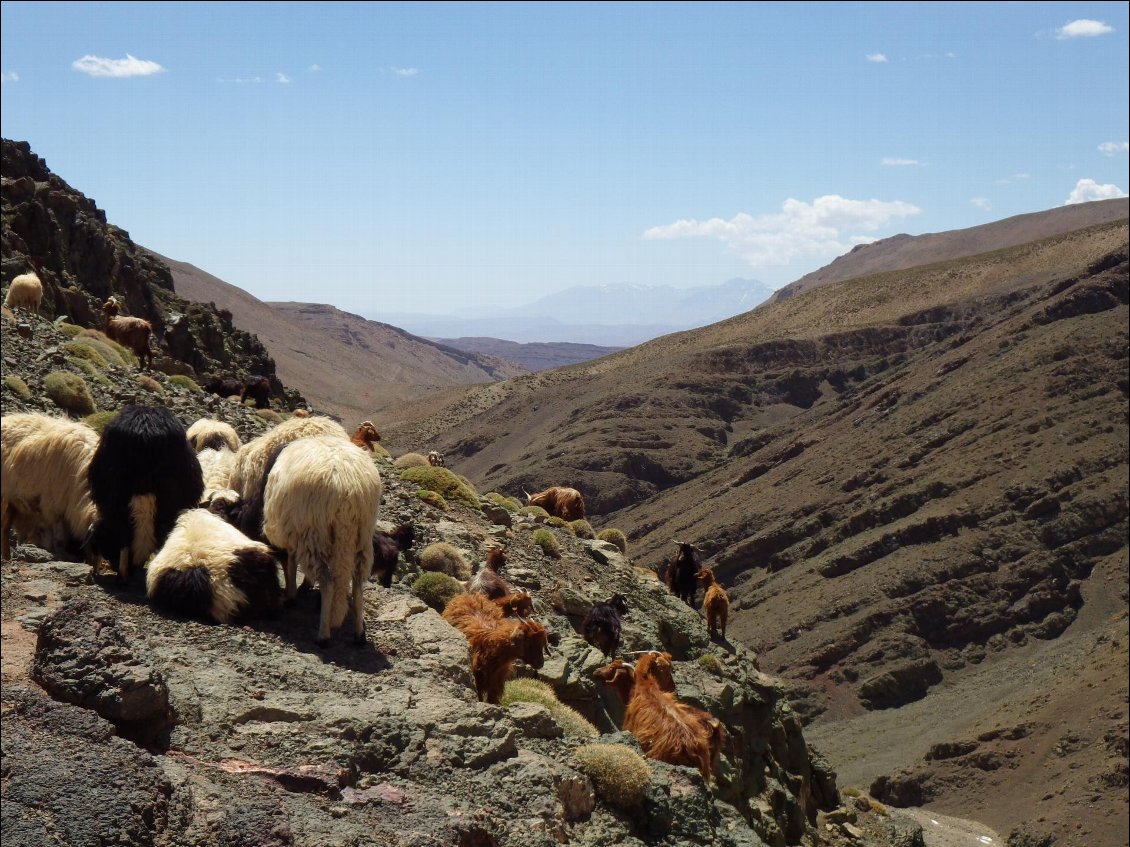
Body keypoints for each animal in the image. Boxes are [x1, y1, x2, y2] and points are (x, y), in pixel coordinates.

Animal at [263, 433, 384, 645]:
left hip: (315, 534)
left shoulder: (293, 532)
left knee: (327, 582)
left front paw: (292, 595)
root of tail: (348, 491)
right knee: (358, 583)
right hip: (362, 534)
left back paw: (323, 635)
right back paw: (359, 635)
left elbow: (291, 562)